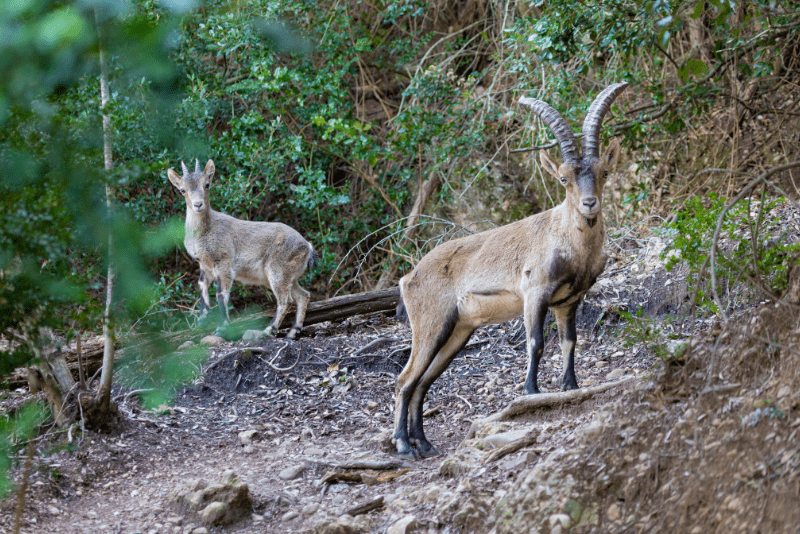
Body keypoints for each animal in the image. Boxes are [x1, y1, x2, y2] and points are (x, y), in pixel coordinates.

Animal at [167, 160, 318, 344]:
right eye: (182, 189)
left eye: (207, 184)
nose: (198, 205)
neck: (206, 230)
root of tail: (308, 246)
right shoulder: (204, 264)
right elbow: (202, 286)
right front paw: (201, 324)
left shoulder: (223, 262)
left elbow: (222, 294)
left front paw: (221, 328)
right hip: (289, 276)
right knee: (303, 296)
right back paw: (292, 332)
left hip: (278, 270)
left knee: (285, 301)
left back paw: (267, 330)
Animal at [390, 81, 628, 458]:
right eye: (564, 178)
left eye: (604, 172)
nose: (589, 204)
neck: (570, 242)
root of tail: (408, 277)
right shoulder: (535, 292)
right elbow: (536, 342)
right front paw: (531, 391)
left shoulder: (569, 301)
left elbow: (570, 342)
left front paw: (570, 385)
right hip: (430, 324)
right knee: (405, 380)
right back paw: (402, 443)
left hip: (457, 331)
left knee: (423, 381)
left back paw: (423, 442)